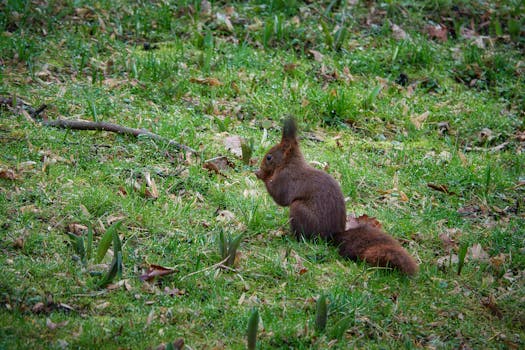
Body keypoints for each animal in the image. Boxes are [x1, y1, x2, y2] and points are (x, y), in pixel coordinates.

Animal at [254, 119, 418, 276]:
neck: (288, 164)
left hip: (299, 210)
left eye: (269, 157)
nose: (260, 167)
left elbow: (280, 197)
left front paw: (261, 175)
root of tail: (332, 236)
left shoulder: (286, 179)